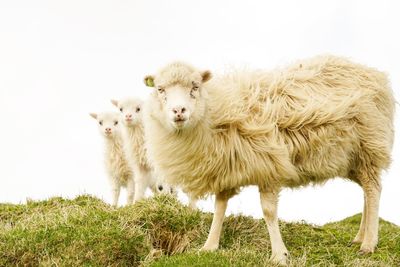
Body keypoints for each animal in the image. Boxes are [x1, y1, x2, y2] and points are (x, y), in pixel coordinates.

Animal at [142, 55, 396, 266]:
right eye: (160, 89)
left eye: (195, 86)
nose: (179, 111)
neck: (215, 115)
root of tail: (376, 76)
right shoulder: (226, 169)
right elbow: (220, 207)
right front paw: (209, 246)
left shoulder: (270, 167)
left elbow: (268, 212)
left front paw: (279, 255)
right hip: (351, 160)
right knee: (366, 191)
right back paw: (359, 237)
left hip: (368, 146)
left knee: (373, 189)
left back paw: (368, 244)